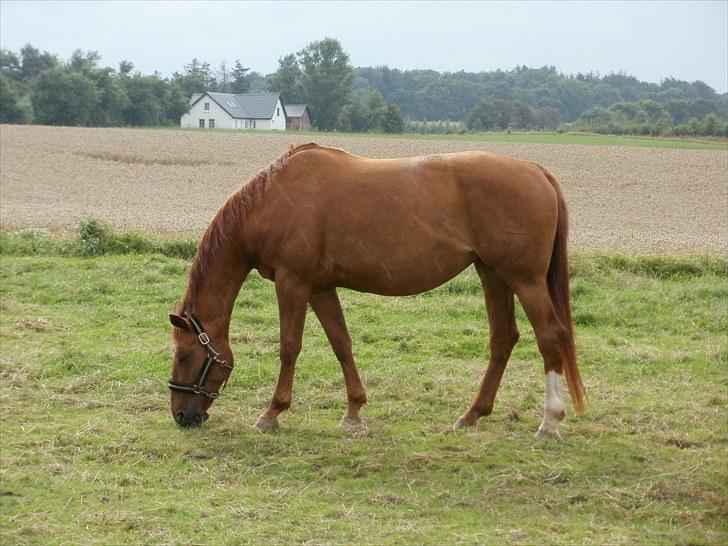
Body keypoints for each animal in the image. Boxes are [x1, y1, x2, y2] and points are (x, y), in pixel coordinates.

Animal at [169, 142, 584, 436]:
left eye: (185, 355)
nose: (181, 415)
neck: (273, 201)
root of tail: (536, 171)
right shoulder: (320, 288)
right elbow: (341, 343)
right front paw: (354, 411)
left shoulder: (293, 283)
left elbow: (289, 347)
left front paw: (272, 413)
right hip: (492, 274)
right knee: (503, 339)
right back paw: (472, 415)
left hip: (524, 279)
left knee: (550, 336)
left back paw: (550, 420)